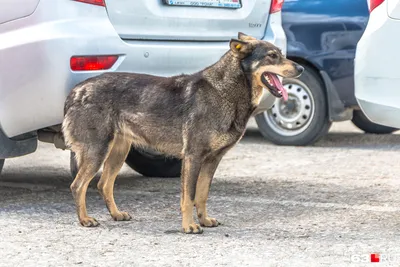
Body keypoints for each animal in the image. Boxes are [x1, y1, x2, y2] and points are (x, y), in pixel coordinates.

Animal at [61, 33, 304, 234]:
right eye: (272, 56)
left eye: (281, 54)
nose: (301, 69)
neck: (225, 92)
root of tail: (76, 91)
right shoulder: (193, 157)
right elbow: (189, 197)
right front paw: (189, 226)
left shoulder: (212, 160)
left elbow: (202, 195)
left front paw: (204, 220)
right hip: (97, 152)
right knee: (78, 185)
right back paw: (84, 219)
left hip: (118, 152)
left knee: (103, 184)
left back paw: (116, 214)